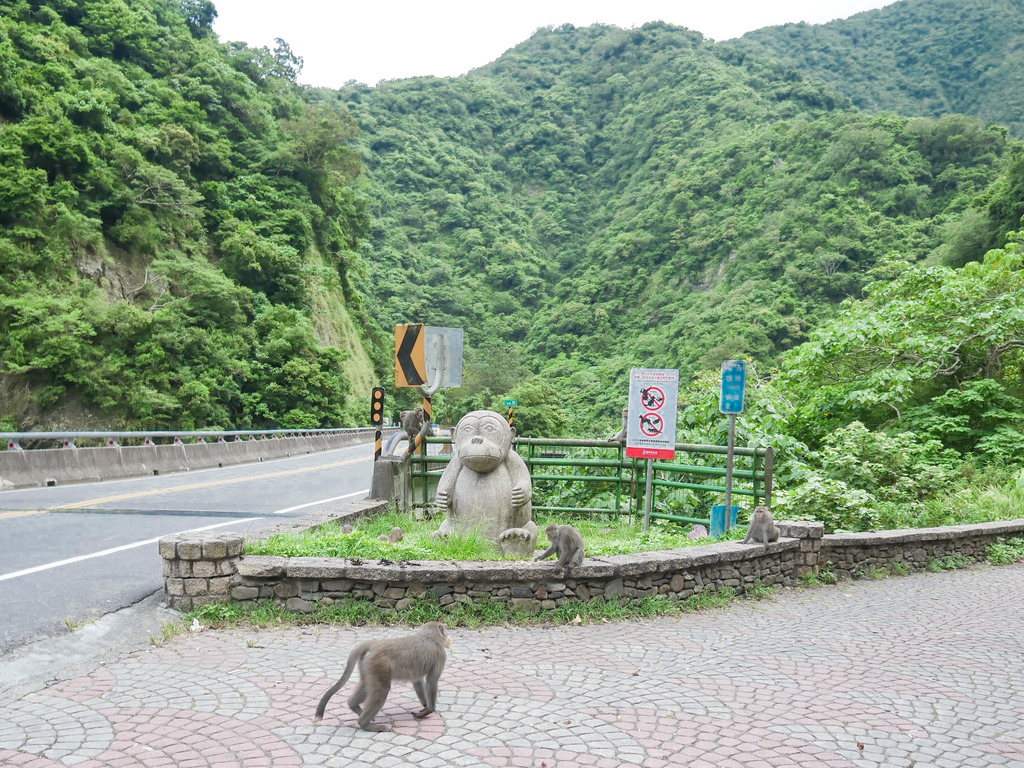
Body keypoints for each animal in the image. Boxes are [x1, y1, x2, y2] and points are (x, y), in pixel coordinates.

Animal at [311, 618, 448, 733]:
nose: (446, 635)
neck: (429, 635)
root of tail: (374, 644)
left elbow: (417, 680)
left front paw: (424, 706)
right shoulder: (441, 655)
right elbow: (432, 680)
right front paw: (429, 709)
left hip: (367, 665)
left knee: (368, 687)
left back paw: (353, 705)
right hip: (378, 664)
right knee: (382, 689)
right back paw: (365, 724)